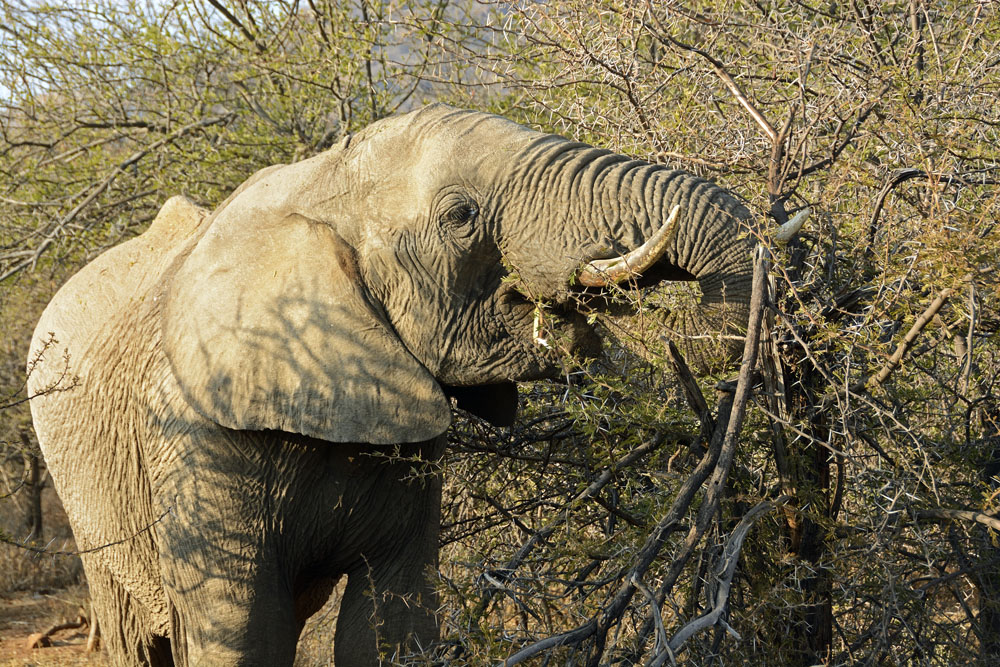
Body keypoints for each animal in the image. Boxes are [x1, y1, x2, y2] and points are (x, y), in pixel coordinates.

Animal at [27, 104, 753, 665]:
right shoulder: (198, 432)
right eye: (460, 215)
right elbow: (241, 629)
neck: (320, 182)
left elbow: (390, 623)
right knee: (137, 636)